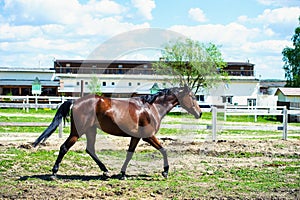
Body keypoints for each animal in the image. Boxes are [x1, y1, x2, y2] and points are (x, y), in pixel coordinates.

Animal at [32, 86, 202, 180]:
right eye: (192, 96)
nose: (199, 113)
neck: (151, 108)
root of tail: (75, 101)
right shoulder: (148, 136)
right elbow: (164, 150)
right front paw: (165, 172)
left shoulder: (136, 137)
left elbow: (129, 154)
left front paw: (123, 173)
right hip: (77, 132)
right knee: (64, 148)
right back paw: (54, 173)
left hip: (91, 131)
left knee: (90, 149)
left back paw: (106, 171)